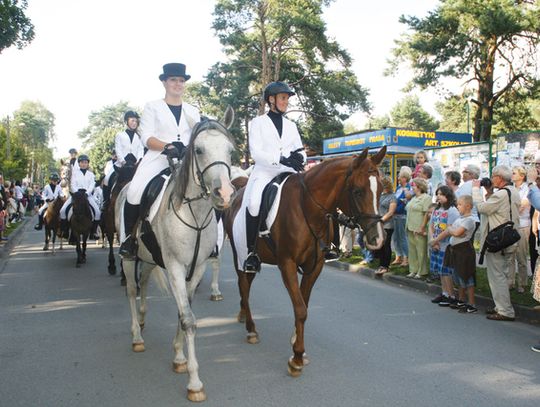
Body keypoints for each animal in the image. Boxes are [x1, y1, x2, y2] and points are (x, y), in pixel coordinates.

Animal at [221, 145, 386, 378]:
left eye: (381, 190)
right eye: (357, 191)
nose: (377, 239)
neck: (307, 209)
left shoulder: (314, 267)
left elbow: (304, 304)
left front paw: (296, 343)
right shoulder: (287, 264)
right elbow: (300, 308)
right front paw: (297, 358)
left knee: (246, 285)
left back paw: (244, 315)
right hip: (241, 254)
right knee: (244, 285)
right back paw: (251, 329)